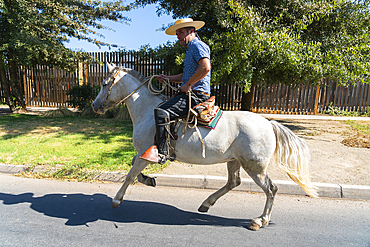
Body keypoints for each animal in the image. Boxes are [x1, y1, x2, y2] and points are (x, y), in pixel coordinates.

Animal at [92, 63, 318, 232]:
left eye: (104, 84)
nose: (95, 105)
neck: (147, 112)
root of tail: (269, 124)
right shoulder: (143, 154)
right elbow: (135, 171)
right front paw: (149, 180)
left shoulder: (145, 154)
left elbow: (130, 174)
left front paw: (117, 199)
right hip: (234, 161)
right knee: (234, 182)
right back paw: (207, 203)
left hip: (255, 166)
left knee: (271, 189)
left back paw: (259, 221)